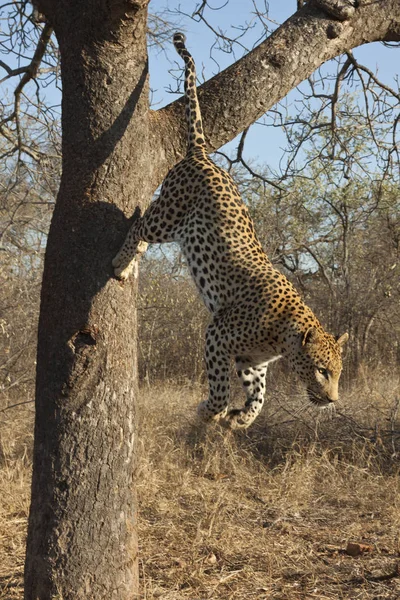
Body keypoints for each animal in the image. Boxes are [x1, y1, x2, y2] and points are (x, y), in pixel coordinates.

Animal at [111, 32, 346, 428]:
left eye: (339, 373)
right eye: (321, 370)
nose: (333, 400)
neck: (282, 338)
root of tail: (202, 154)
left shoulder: (252, 362)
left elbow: (260, 396)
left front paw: (241, 419)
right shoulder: (217, 334)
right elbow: (220, 387)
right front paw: (211, 411)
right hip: (169, 217)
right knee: (139, 223)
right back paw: (123, 262)